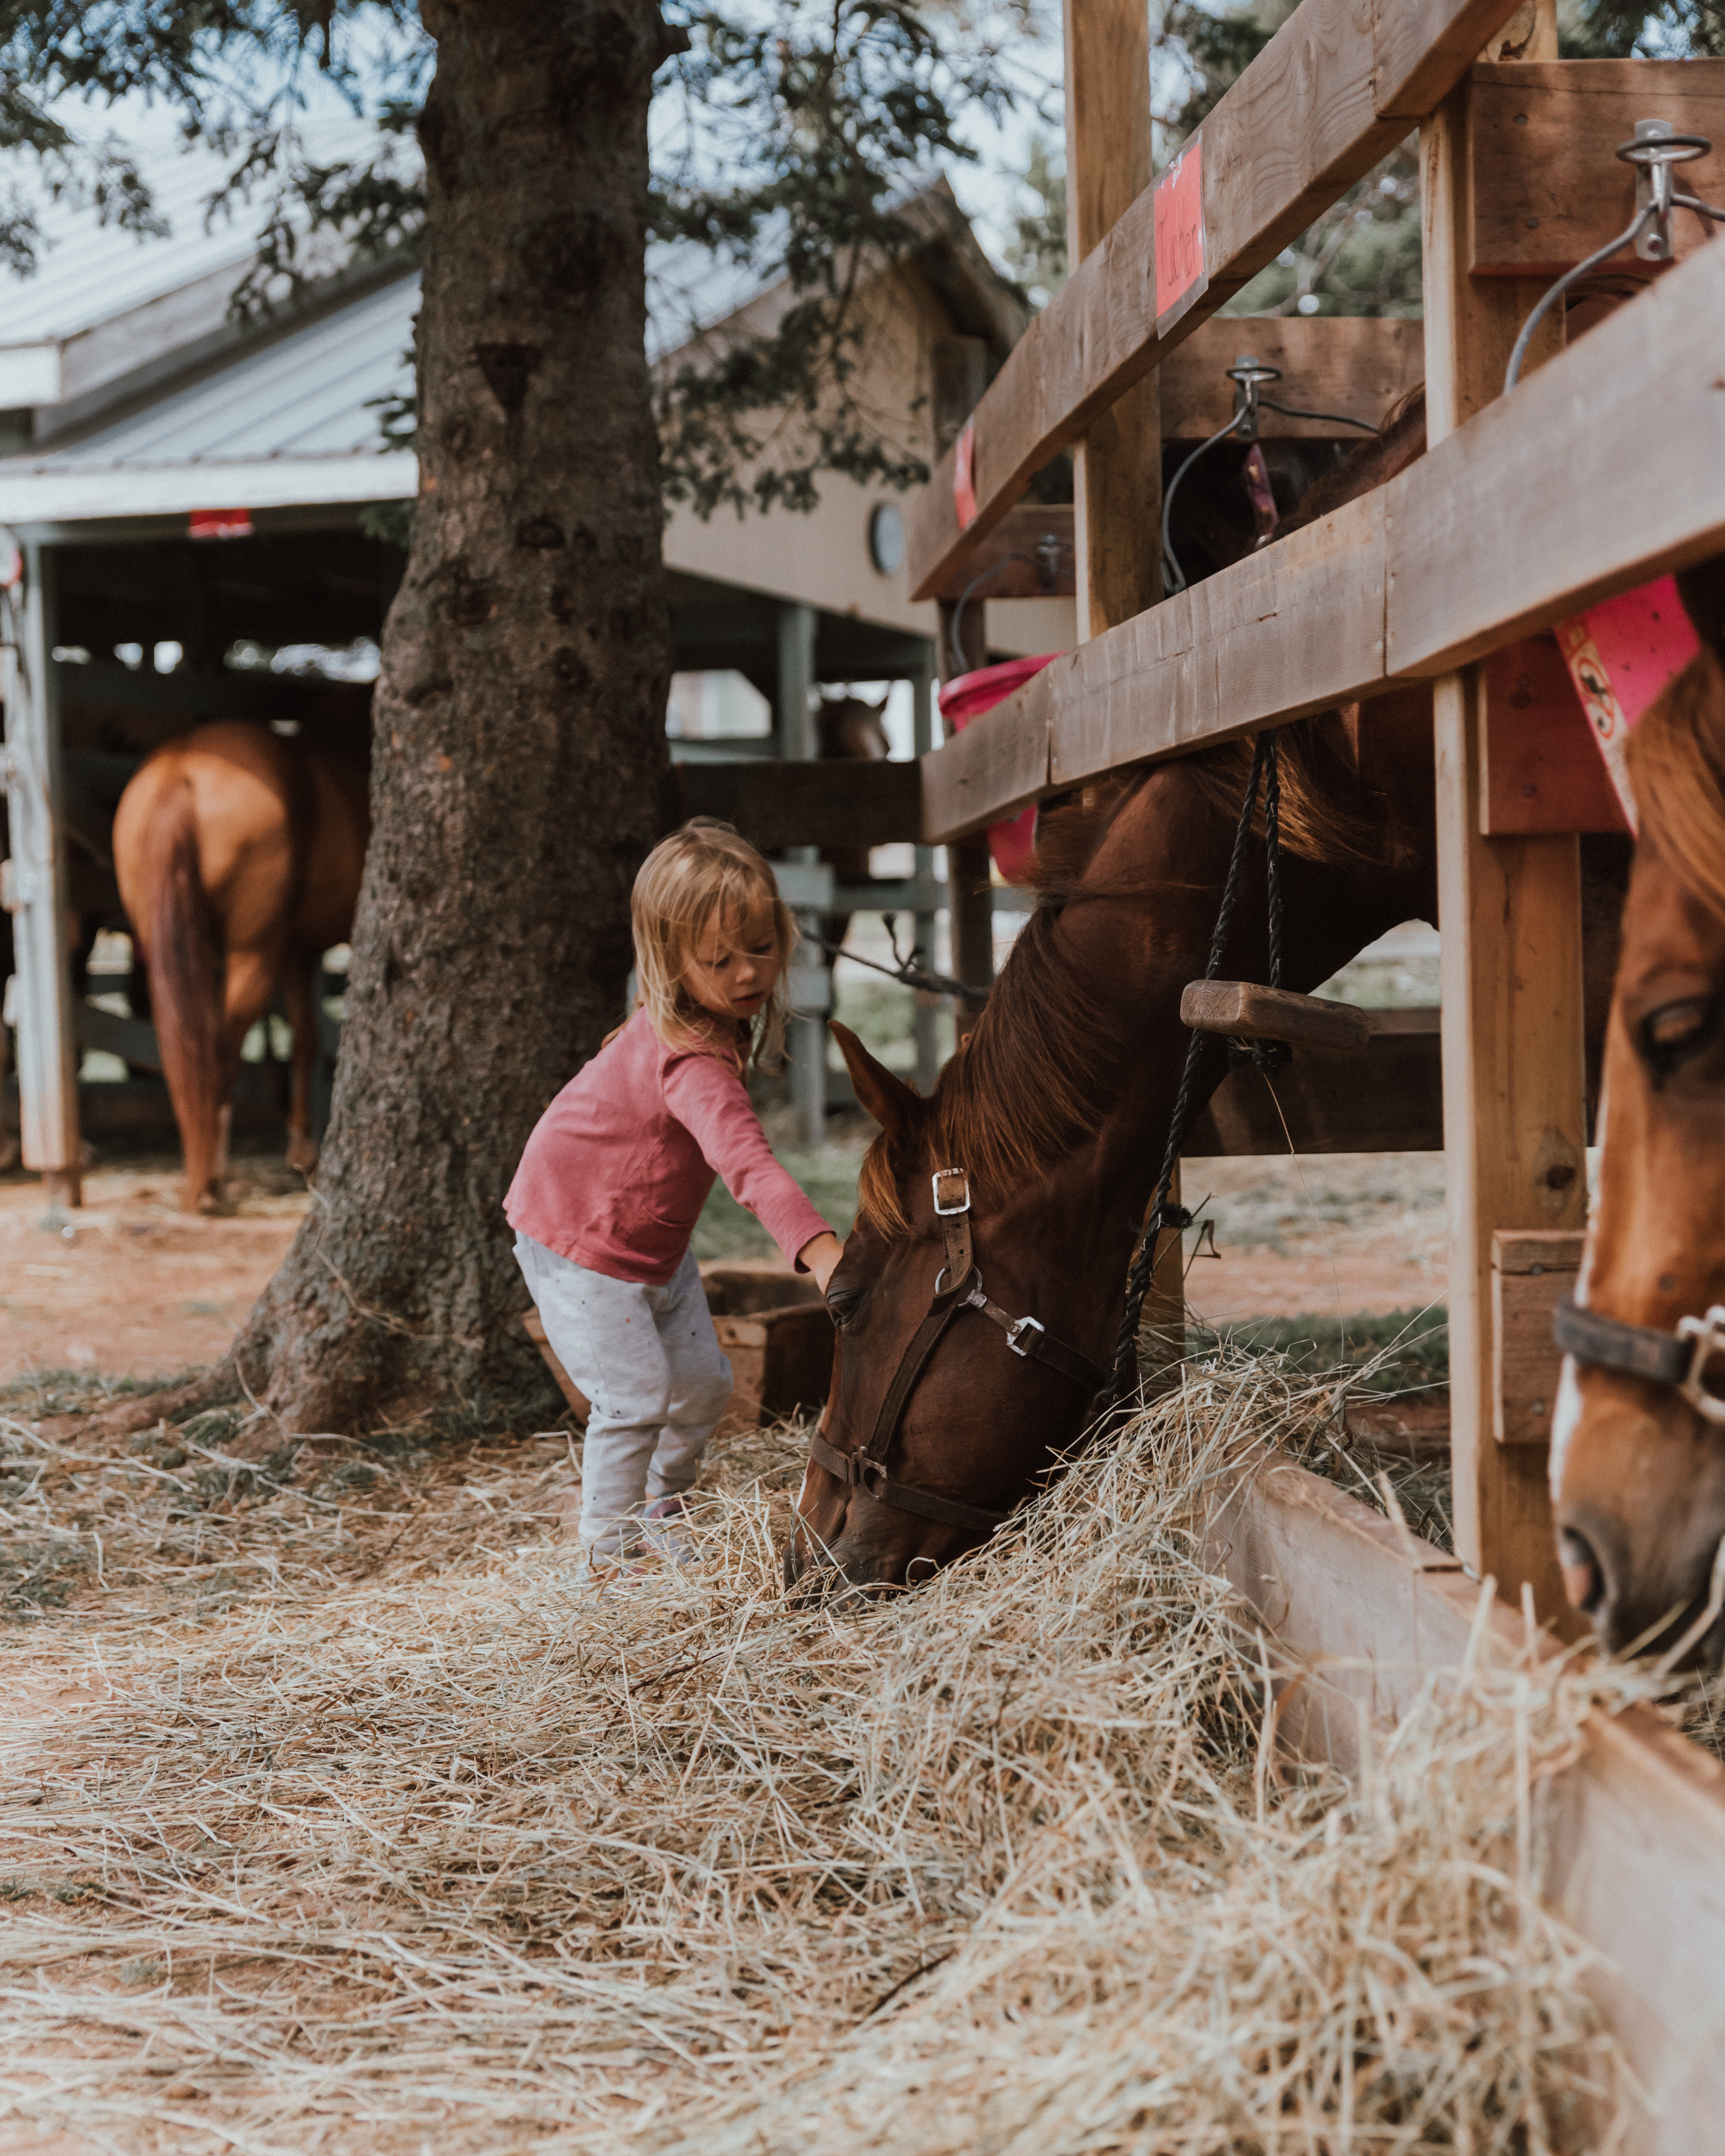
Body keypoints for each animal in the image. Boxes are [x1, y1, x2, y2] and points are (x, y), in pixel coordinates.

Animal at [117, 711, 371, 1207]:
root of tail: (181, 769)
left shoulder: (297, 952)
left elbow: (305, 1039)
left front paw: (301, 1146)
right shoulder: (299, 951)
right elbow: (307, 1040)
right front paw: (303, 1148)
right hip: (252, 954)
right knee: (220, 1050)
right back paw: (212, 1179)